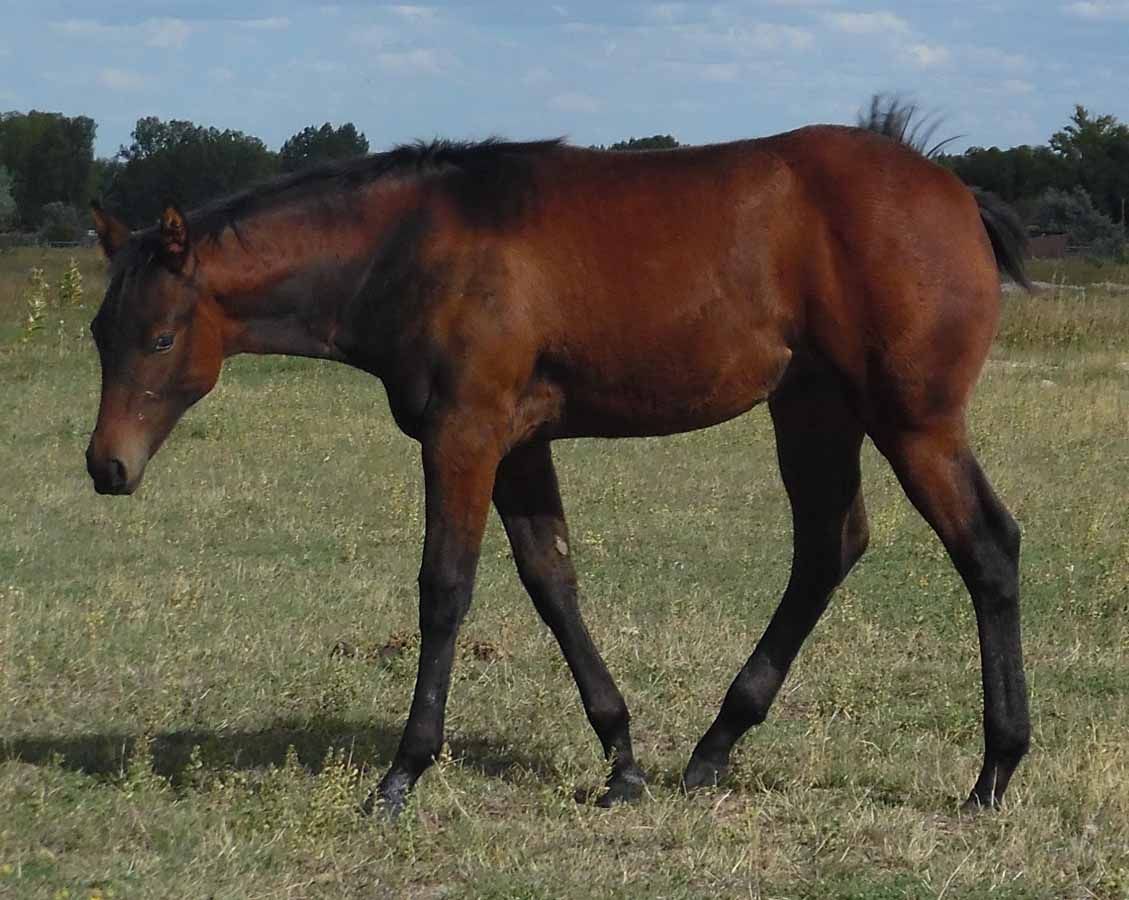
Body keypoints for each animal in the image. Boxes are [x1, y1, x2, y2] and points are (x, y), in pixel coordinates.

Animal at [85, 119, 1031, 818]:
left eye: (160, 338)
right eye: (100, 331)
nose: (106, 466)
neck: (409, 244)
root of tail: (954, 191)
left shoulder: (463, 435)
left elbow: (445, 587)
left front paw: (403, 772)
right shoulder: (518, 445)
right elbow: (551, 581)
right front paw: (621, 760)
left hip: (913, 421)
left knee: (986, 547)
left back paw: (993, 771)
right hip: (812, 410)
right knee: (828, 546)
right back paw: (713, 748)